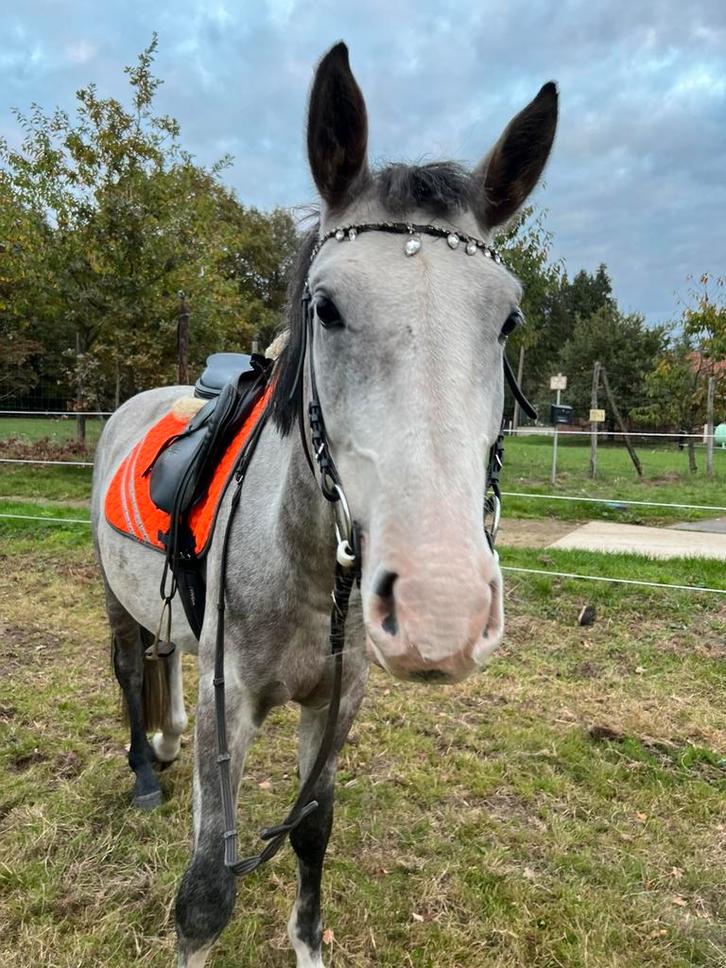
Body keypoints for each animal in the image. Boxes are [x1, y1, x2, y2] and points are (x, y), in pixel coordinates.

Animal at [90, 41, 557, 968]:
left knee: (164, 661)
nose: (440, 610)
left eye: (508, 321)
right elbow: (206, 890)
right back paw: (144, 769)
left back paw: (164, 741)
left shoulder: (337, 703)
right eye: (327, 308)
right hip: (116, 600)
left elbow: (310, 832)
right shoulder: (230, 703)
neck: (302, 564)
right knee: (130, 667)